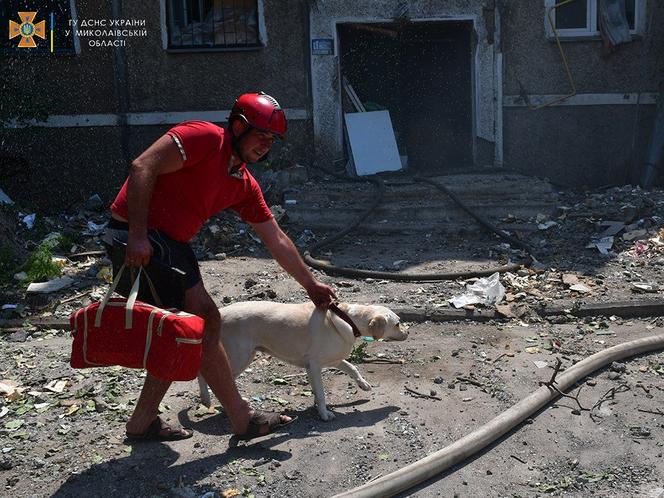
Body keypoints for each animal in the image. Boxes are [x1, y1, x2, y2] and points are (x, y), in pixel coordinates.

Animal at [197, 304, 408, 420]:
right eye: (397, 323)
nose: (408, 332)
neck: (349, 319)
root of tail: (218, 313)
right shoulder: (315, 365)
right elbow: (321, 393)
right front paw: (324, 414)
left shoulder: (329, 360)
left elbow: (352, 367)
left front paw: (363, 384)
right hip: (240, 357)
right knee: (211, 376)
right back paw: (215, 401)